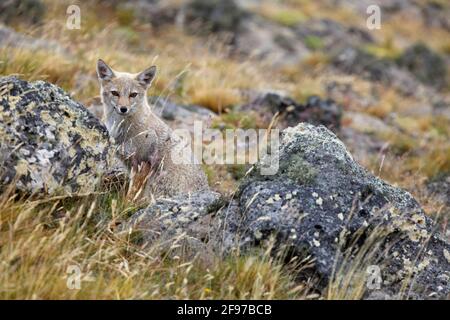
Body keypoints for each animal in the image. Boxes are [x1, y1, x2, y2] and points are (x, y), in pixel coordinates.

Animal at [96, 57, 209, 198]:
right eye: (115, 93)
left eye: (133, 95)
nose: (123, 109)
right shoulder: (130, 163)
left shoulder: (142, 163)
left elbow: (132, 193)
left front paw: (127, 202)